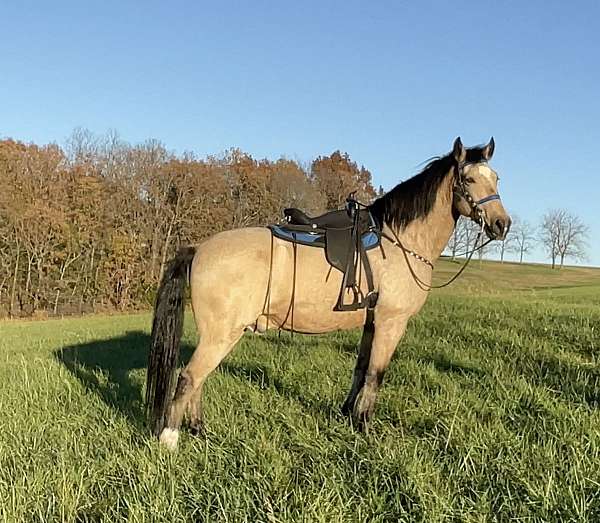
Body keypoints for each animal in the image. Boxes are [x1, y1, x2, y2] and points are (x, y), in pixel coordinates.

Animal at [145, 138, 510, 450]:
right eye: (469, 179)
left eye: (496, 178)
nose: (501, 224)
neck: (400, 241)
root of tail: (199, 249)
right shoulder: (391, 323)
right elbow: (376, 375)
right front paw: (365, 427)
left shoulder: (372, 323)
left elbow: (361, 370)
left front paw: (348, 415)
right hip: (221, 336)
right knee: (189, 378)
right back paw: (170, 439)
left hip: (217, 336)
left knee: (198, 380)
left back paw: (200, 431)